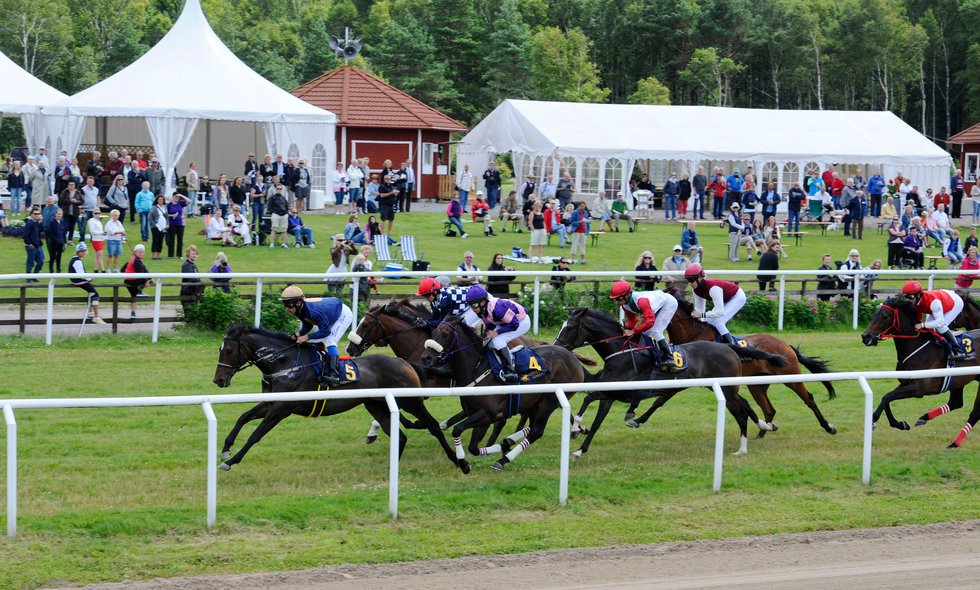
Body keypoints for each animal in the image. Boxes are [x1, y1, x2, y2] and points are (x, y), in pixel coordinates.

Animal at [214, 324, 460, 472]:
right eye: (220, 349)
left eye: (229, 351)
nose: (219, 380)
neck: (285, 363)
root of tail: (406, 363)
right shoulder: (270, 403)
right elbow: (243, 417)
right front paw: (226, 448)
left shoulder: (282, 408)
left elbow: (256, 434)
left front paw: (231, 461)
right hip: (377, 406)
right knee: (401, 437)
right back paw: (392, 470)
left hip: (411, 401)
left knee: (433, 426)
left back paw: (459, 461)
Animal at [416, 316, 584, 474]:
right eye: (433, 333)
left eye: (445, 334)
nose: (426, 357)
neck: (477, 369)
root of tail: (573, 358)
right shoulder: (479, 417)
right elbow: (473, 448)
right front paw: (496, 448)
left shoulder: (486, 413)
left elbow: (457, 430)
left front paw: (463, 463)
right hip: (534, 401)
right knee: (532, 425)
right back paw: (507, 443)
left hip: (550, 400)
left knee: (536, 431)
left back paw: (503, 460)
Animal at [560, 308, 788, 460]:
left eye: (569, 327)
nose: (557, 346)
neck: (621, 352)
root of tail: (728, 347)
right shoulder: (610, 393)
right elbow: (595, 420)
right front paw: (579, 445)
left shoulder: (624, 391)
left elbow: (590, 398)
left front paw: (576, 428)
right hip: (723, 388)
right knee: (745, 405)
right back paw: (764, 425)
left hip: (727, 390)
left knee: (740, 414)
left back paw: (742, 448)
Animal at [668, 292, 836, 440]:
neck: (694, 335)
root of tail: (784, 344)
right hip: (757, 385)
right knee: (769, 410)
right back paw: (761, 434)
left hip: (791, 377)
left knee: (809, 399)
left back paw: (828, 427)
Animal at [860, 296, 980, 448]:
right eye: (874, 315)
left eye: (885, 316)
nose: (865, 336)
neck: (917, 348)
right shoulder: (905, 382)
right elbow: (887, 397)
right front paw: (900, 424)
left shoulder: (919, 389)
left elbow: (888, 396)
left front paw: (873, 420)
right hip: (959, 380)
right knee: (956, 402)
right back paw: (925, 418)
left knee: (975, 412)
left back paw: (955, 443)